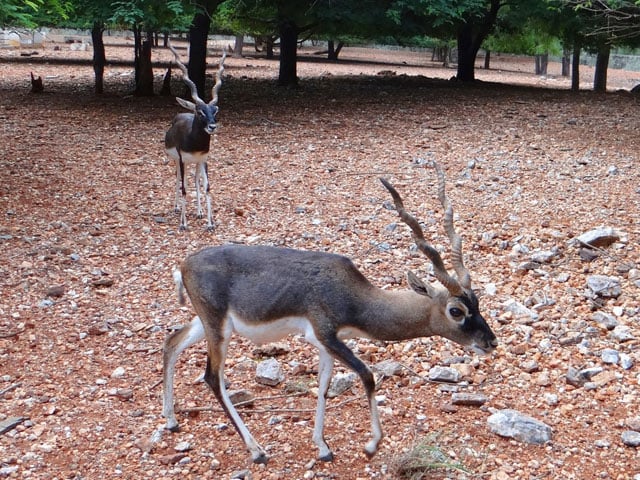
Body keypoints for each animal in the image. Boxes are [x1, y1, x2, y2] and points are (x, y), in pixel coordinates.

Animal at [161, 163, 500, 464]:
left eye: (477, 302)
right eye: (456, 310)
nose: (491, 342)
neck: (355, 295)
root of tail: (184, 265)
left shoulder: (324, 343)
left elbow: (323, 388)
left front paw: (323, 447)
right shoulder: (326, 334)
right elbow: (367, 376)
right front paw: (371, 445)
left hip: (207, 323)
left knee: (172, 342)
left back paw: (171, 420)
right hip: (219, 328)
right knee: (213, 377)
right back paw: (257, 451)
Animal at [164, 39, 226, 231]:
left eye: (215, 110)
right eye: (200, 112)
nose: (212, 126)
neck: (195, 143)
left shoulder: (203, 159)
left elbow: (206, 187)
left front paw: (210, 222)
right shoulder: (183, 159)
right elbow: (184, 188)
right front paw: (183, 224)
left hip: (196, 163)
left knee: (196, 181)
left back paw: (198, 212)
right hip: (177, 161)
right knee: (178, 179)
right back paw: (176, 208)